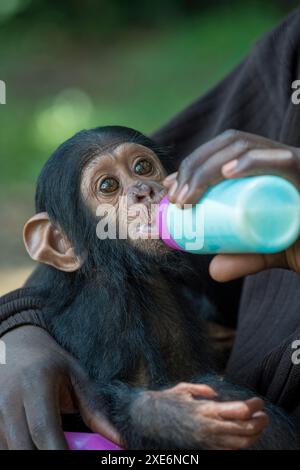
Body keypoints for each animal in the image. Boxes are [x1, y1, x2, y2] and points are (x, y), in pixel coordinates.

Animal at [22, 126, 298, 450]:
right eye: (108, 185)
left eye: (142, 167)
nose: (144, 190)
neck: (134, 272)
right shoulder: (107, 309)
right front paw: (174, 415)